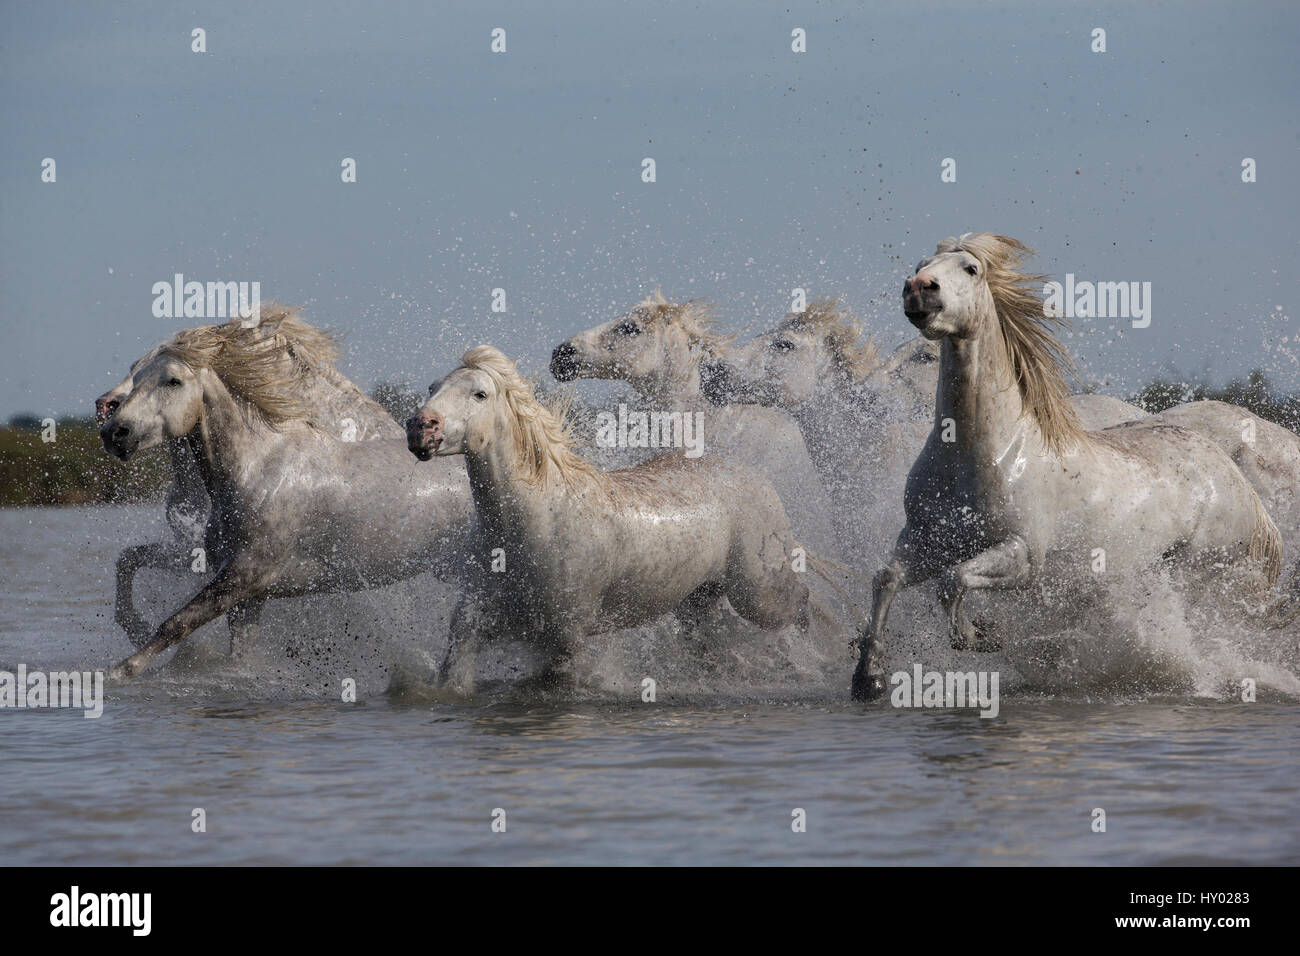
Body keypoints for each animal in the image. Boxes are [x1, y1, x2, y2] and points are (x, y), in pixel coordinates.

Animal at [101, 310, 475, 676]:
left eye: (173, 381)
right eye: (135, 374)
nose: (114, 430)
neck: (258, 469)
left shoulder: (247, 575)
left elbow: (177, 623)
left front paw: (121, 670)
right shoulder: (247, 591)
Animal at [408, 348, 811, 691]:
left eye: (480, 394)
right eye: (432, 387)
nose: (421, 426)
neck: (529, 526)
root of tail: (754, 475)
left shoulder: (566, 639)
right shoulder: (470, 625)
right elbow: (455, 677)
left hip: (758, 595)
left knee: (800, 605)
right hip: (698, 601)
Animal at [847, 238, 1284, 702]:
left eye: (970, 268)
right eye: (921, 264)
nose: (919, 289)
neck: (985, 451)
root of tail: (1240, 485)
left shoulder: (1024, 556)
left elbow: (953, 580)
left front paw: (978, 636)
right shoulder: (929, 539)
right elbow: (887, 577)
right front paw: (868, 678)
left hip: (1199, 574)